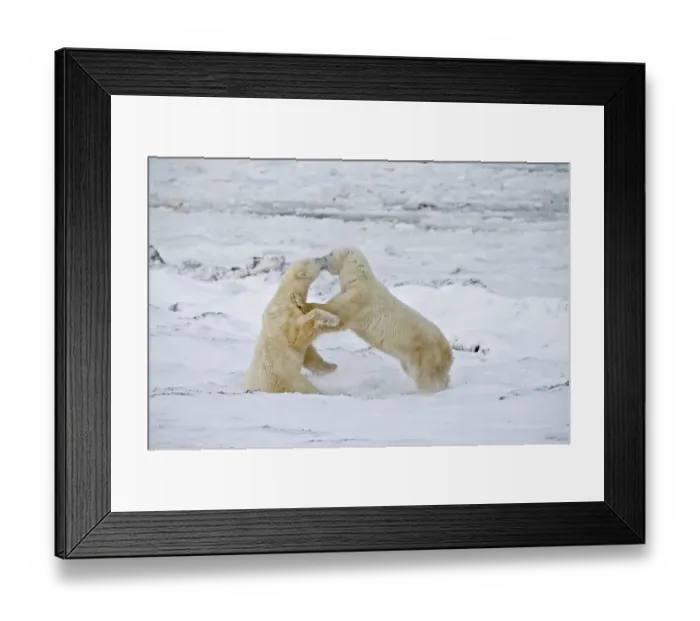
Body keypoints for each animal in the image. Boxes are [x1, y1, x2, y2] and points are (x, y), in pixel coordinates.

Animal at [243, 257, 340, 395]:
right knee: (306, 387)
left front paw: (331, 366)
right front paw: (332, 319)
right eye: (315, 260)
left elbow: (308, 350)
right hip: (288, 380)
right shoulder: (284, 318)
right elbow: (296, 338)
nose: (324, 258)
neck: (287, 296)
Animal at [296, 247, 454, 393]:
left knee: (428, 379)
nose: (322, 259)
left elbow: (339, 314)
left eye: (330, 253)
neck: (358, 278)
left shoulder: (359, 298)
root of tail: (448, 352)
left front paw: (304, 304)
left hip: (425, 354)